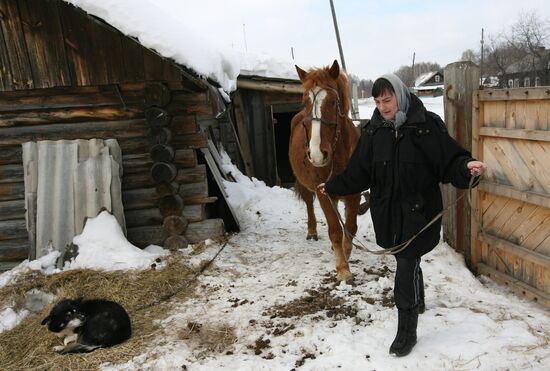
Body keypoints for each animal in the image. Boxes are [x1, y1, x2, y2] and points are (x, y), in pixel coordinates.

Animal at [288, 60, 362, 282]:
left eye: (333, 102)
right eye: (305, 102)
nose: (316, 154)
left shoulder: (354, 192)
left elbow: (350, 228)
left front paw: (346, 253)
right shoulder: (323, 193)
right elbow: (335, 230)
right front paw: (342, 268)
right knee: (309, 204)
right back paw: (312, 230)